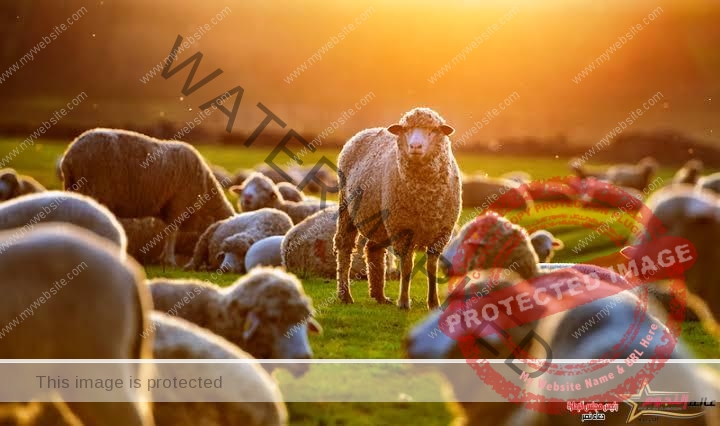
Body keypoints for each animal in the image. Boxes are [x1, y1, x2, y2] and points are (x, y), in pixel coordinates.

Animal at [59, 126, 233, 266]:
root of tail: (70, 155)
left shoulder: (168, 208)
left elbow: (166, 232)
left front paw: (162, 259)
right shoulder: (178, 205)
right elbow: (172, 232)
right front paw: (169, 260)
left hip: (73, 188)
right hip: (93, 189)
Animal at [334, 108, 462, 308]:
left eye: (433, 130)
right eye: (406, 130)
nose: (415, 146)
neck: (424, 195)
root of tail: (364, 131)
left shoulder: (441, 233)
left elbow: (431, 267)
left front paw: (434, 303)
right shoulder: (402, 228)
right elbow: (407, 265)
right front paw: (403, 302)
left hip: (381, 220)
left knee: (374, 249)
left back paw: (379, 296)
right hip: (346, 207)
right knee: (344, 246)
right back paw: (345, 295)